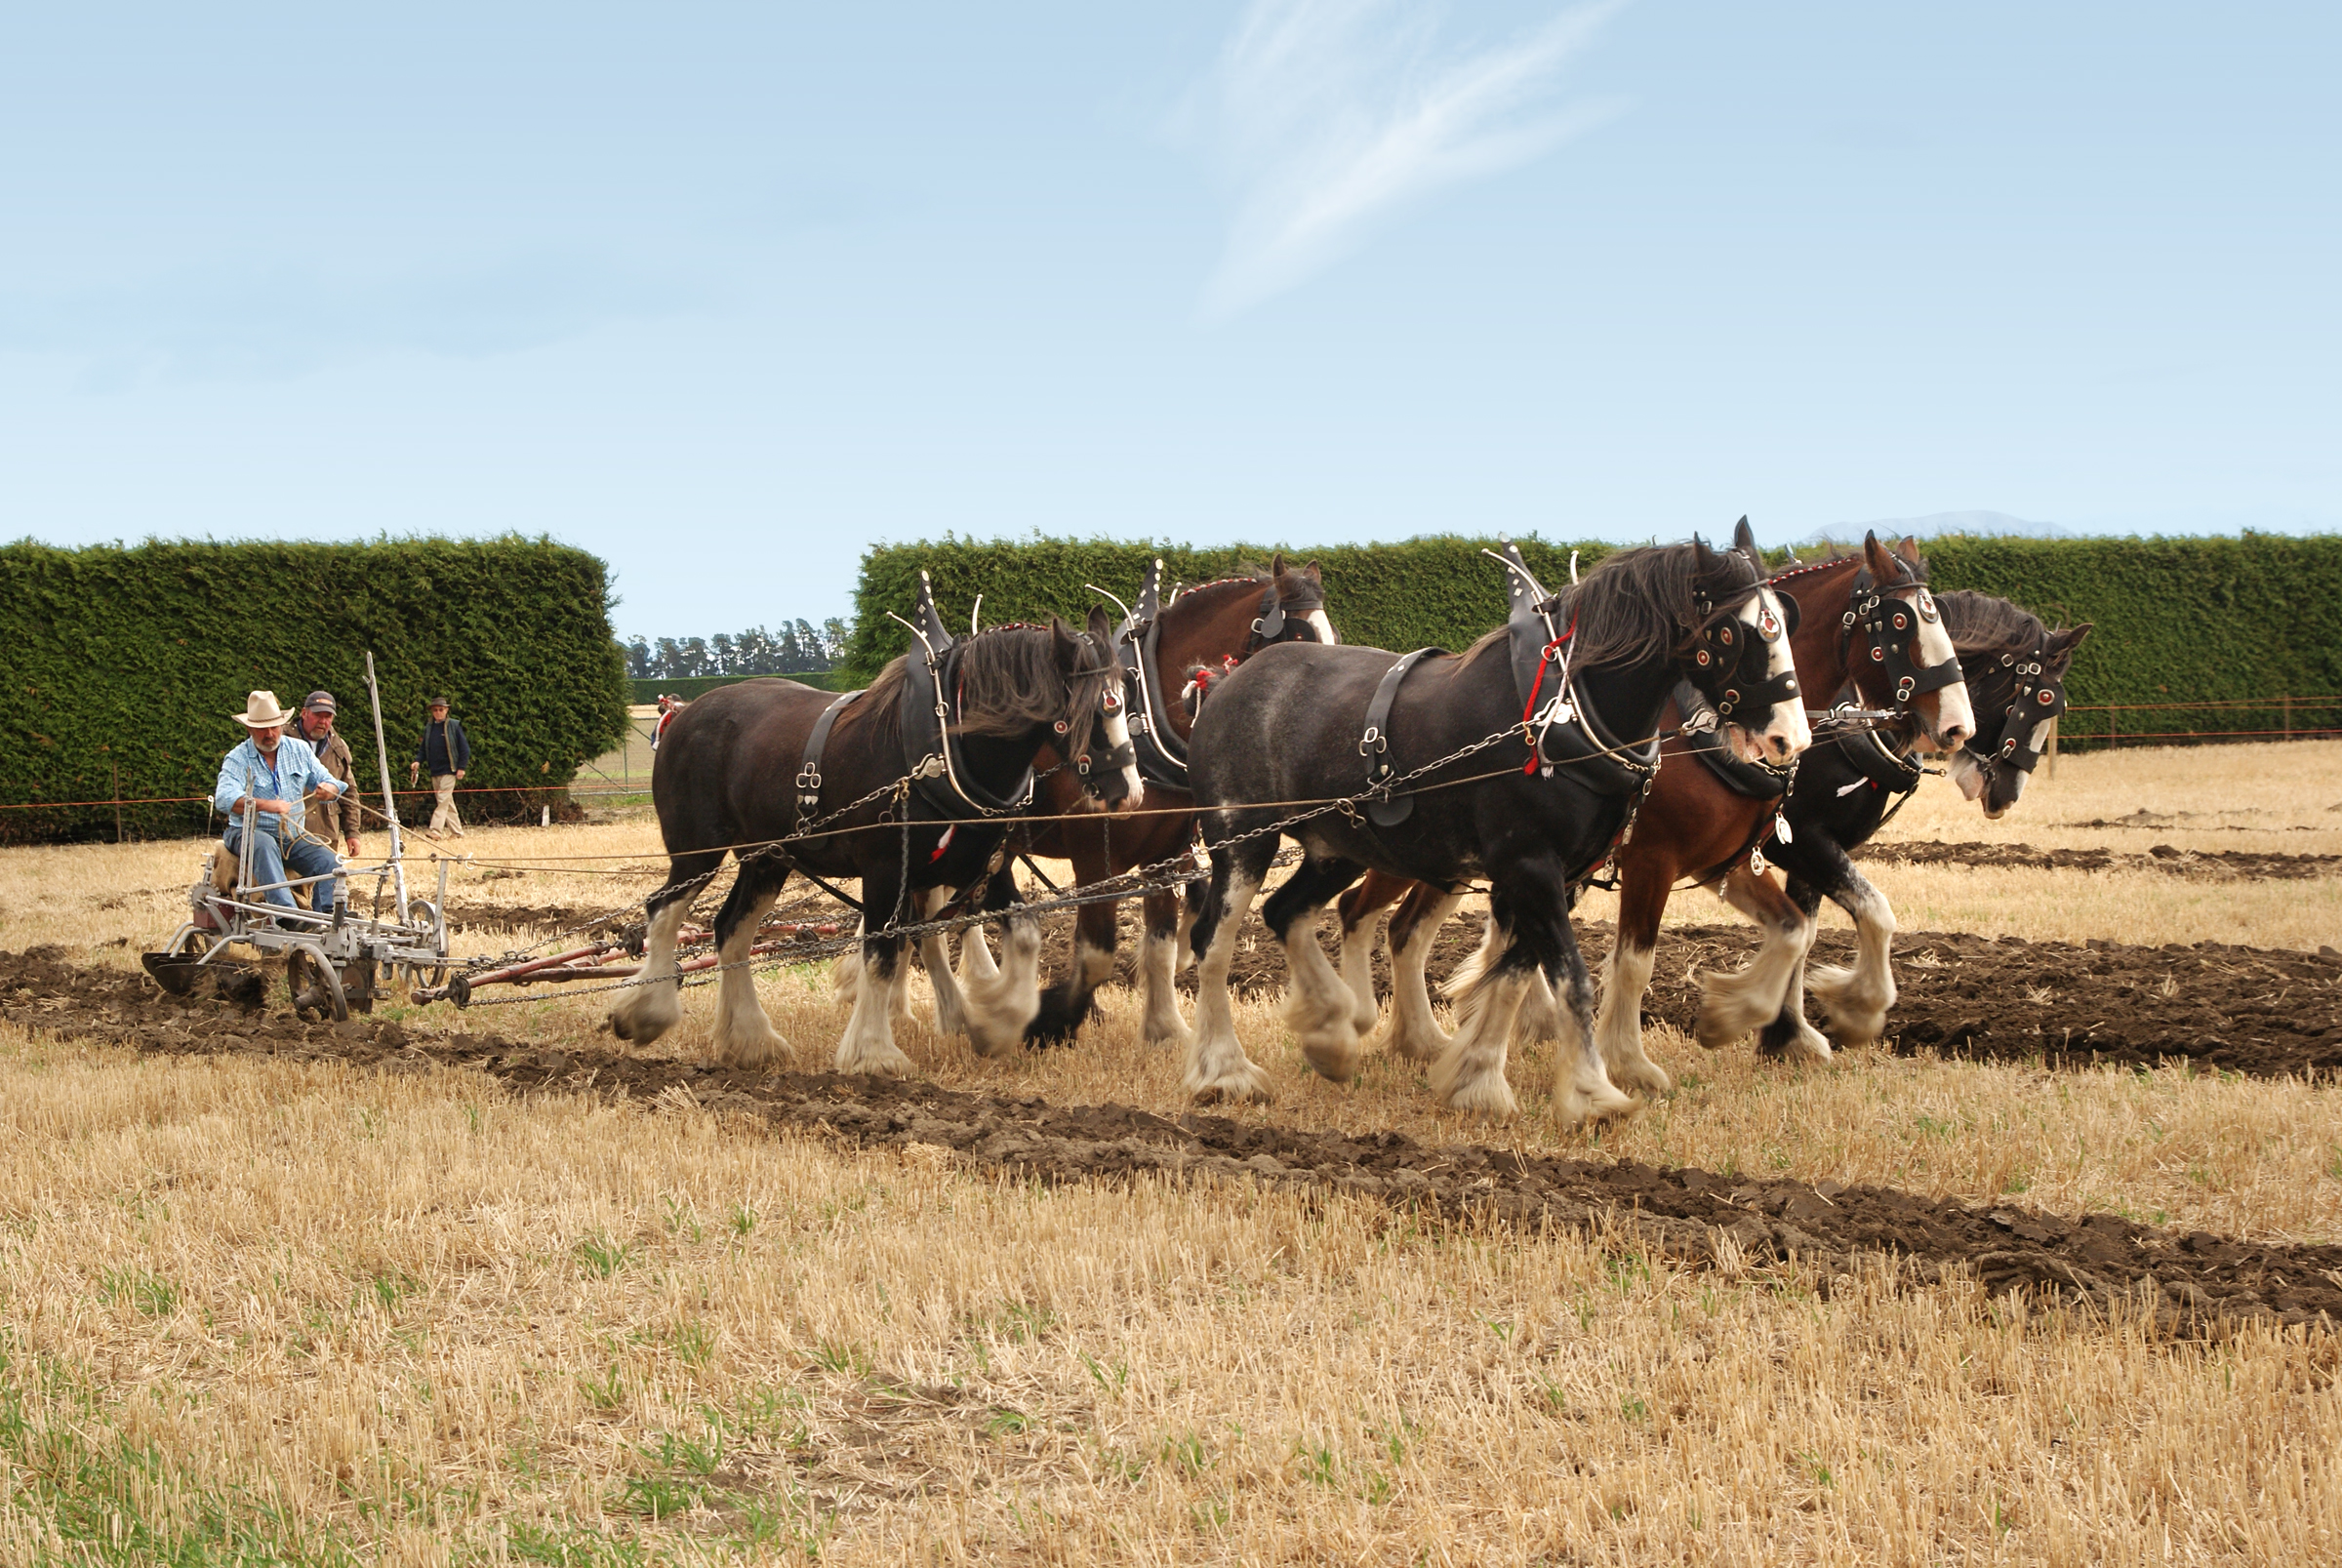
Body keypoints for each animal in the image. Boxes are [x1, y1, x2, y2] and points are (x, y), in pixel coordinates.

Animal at [613, 578, 1143, 1081]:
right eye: (1084, 712)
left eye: (1125, 700)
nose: (1129, 794)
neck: (947, 752)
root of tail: (686, 712)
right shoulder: (887, 868)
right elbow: (882, 952)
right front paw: (873, 1054)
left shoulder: (982, 865)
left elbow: (1025, 932)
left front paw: (999, 1021)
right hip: (697, 849)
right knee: (664, 908)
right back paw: (645, 1014)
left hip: (767, 859)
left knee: (731, 931)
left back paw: (750, 1040)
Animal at [1007, 559, 1339, 1048]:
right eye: (1297, 637)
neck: (1143, 725)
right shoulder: (1093, 857)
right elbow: (1095, 946)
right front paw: (1056, 1019)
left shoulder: (1165, 854)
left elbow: (1161, 944)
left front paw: (1164, 1027)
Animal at [1190, 541, 1807, 1132]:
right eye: (1732, 632)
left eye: (1785, 620)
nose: (1791, 738)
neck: (1564, 712)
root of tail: (1230, 682)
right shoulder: (1533, 864)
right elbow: (1572, 977)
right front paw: (1594, 1093)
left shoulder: (1552, 875)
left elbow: (1512, 975)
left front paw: (1477, 1079)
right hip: (1242, 840)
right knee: (1212, 943)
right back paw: (1224, 1070)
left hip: (1339, 848)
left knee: (1287, 912)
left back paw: (1332, 1031)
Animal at [1339, 533, 1976, 1100]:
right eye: (1899, 623)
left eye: (1938, 617)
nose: (1956, 727)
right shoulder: (1667, 856)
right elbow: (1634, 961)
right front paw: (1632, 1061)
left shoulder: (1729, 859)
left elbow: (1803, 929)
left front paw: (1752, 1019)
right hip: (1411, 850)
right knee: (1364, 913)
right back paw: (1368, 1019)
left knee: (1407, 928)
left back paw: (1430, 1036)